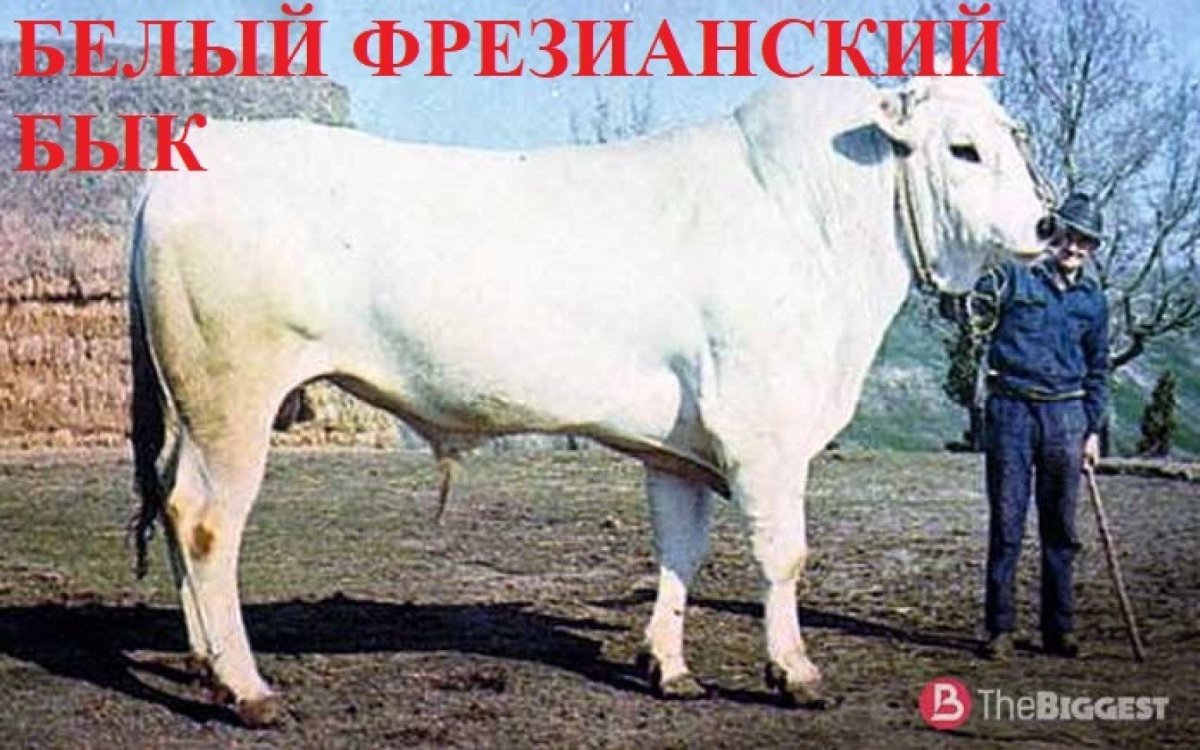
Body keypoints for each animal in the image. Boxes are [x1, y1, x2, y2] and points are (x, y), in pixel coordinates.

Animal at [128, 71, 1046, 726]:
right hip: (231, 397)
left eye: (1012, 136)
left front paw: (667, 667)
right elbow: (783, 555)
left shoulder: (681, 444)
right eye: (963, 149)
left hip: (193, 409)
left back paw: (204, 664)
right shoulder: (764, 427)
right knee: (208, 522)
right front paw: (796, 672)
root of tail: (186, 164)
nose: (1053, 228)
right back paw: (246, 688)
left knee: (172, 505)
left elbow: (680, 551)